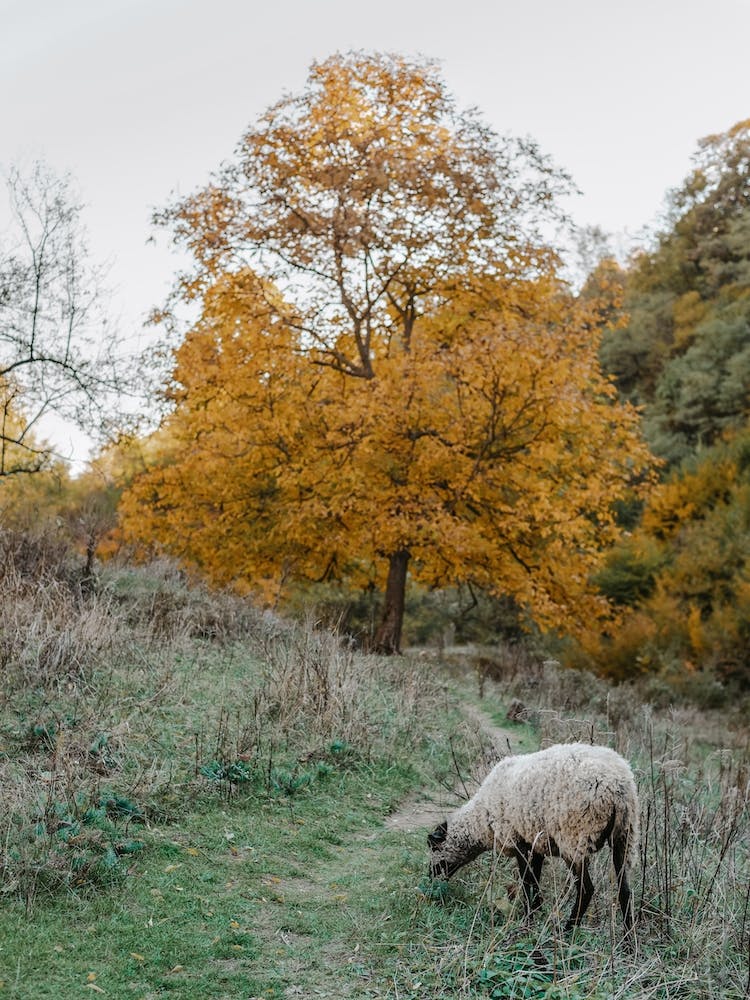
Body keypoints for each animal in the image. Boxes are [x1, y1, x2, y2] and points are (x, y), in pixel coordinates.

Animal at [427, 742, 639, 939]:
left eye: (434, 849)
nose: (430, 880)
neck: (481, 820)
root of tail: (616, 786)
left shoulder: (516, 840)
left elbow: (527, 880)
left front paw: (527, 919)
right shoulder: (536, 842)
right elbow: (535, 880)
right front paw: (536, 911)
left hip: (575, 838)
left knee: (586, 889)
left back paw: (567, 931)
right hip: (624, 836)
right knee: (625, 891)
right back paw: (628, 941)